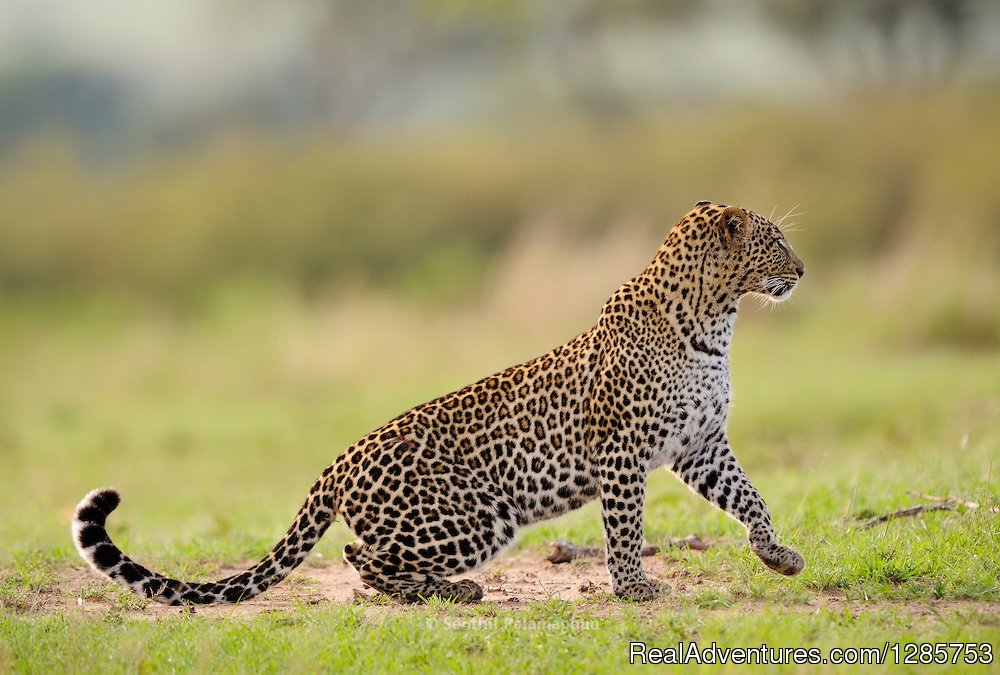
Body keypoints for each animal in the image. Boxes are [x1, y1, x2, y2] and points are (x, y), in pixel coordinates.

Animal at [72, 198, 804, 604]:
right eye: (776, 241)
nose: (802, 270)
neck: (716, 321)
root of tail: (338, 461)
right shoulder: (623, 451)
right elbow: (625, 528)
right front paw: (634, 588)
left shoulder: (700, 445)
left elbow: (751, 498)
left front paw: (778, 555)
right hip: (476, 516)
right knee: (360, 557)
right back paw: (450, 590)